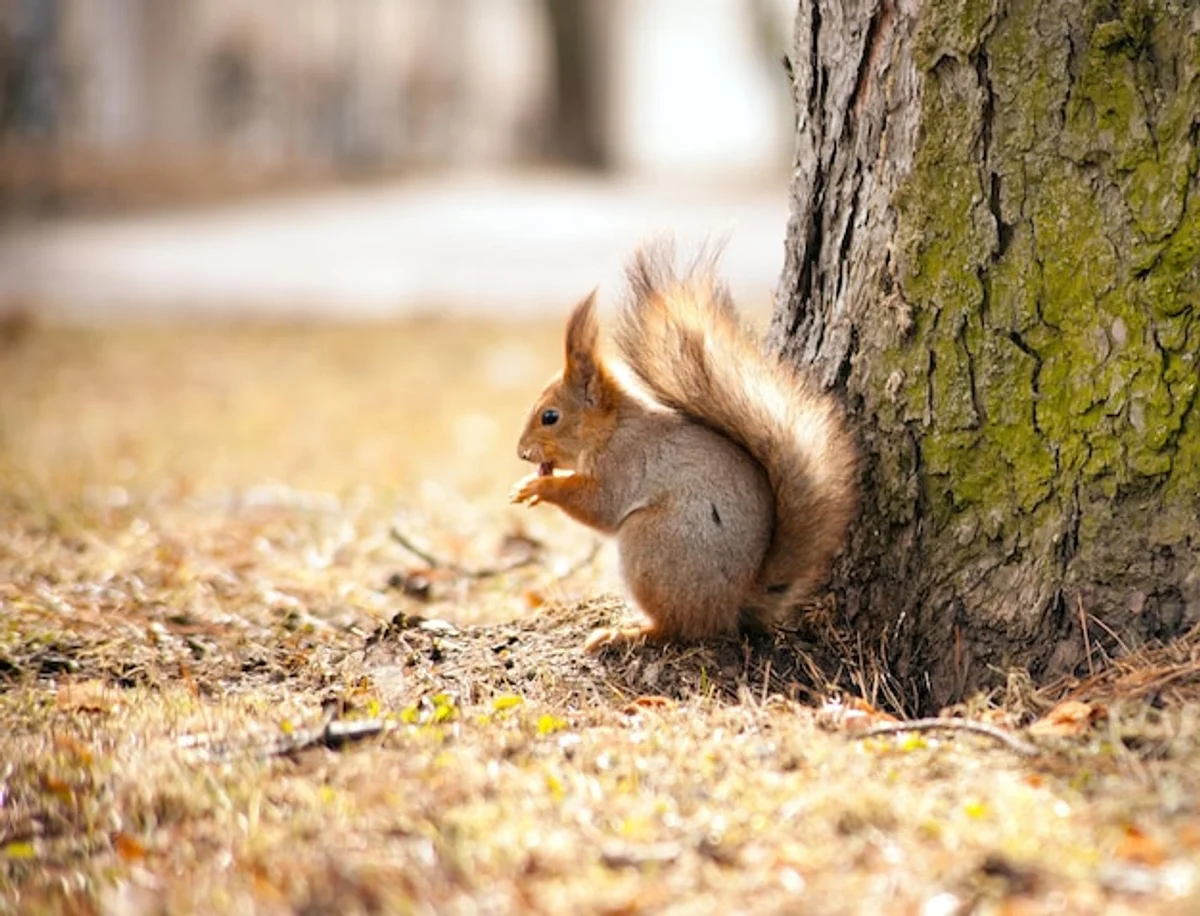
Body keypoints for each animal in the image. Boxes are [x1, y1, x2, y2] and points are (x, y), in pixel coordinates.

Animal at [510, 244, 858, 651]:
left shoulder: (625, 464)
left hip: (652, 545)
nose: (521, 452)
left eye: (550, 416)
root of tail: (735, 601)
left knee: (678, 627)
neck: (613, 428)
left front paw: (541, 486)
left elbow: (600, 505)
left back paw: (627, 632)